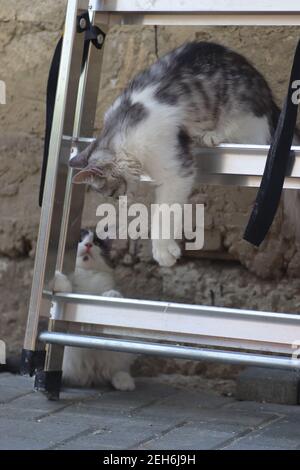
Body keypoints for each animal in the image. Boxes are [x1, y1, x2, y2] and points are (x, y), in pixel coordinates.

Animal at [53, 229, 136, 392]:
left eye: (97, 242)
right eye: (80, 239)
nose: (89, 244)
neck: (88, 275)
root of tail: (90, 375)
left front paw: (112, 295)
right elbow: (66, 288)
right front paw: (59, 279)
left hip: (120, 350)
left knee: (117, 368)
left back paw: (124, 381)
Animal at [68, 41, 300, 264]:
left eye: (111, 193)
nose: (119, 199)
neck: (123, 131)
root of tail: (269, 100)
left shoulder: (175, 170)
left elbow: (163, 213)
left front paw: (162, 252)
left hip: (244, 114)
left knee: (245, 133)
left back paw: (211, 135)